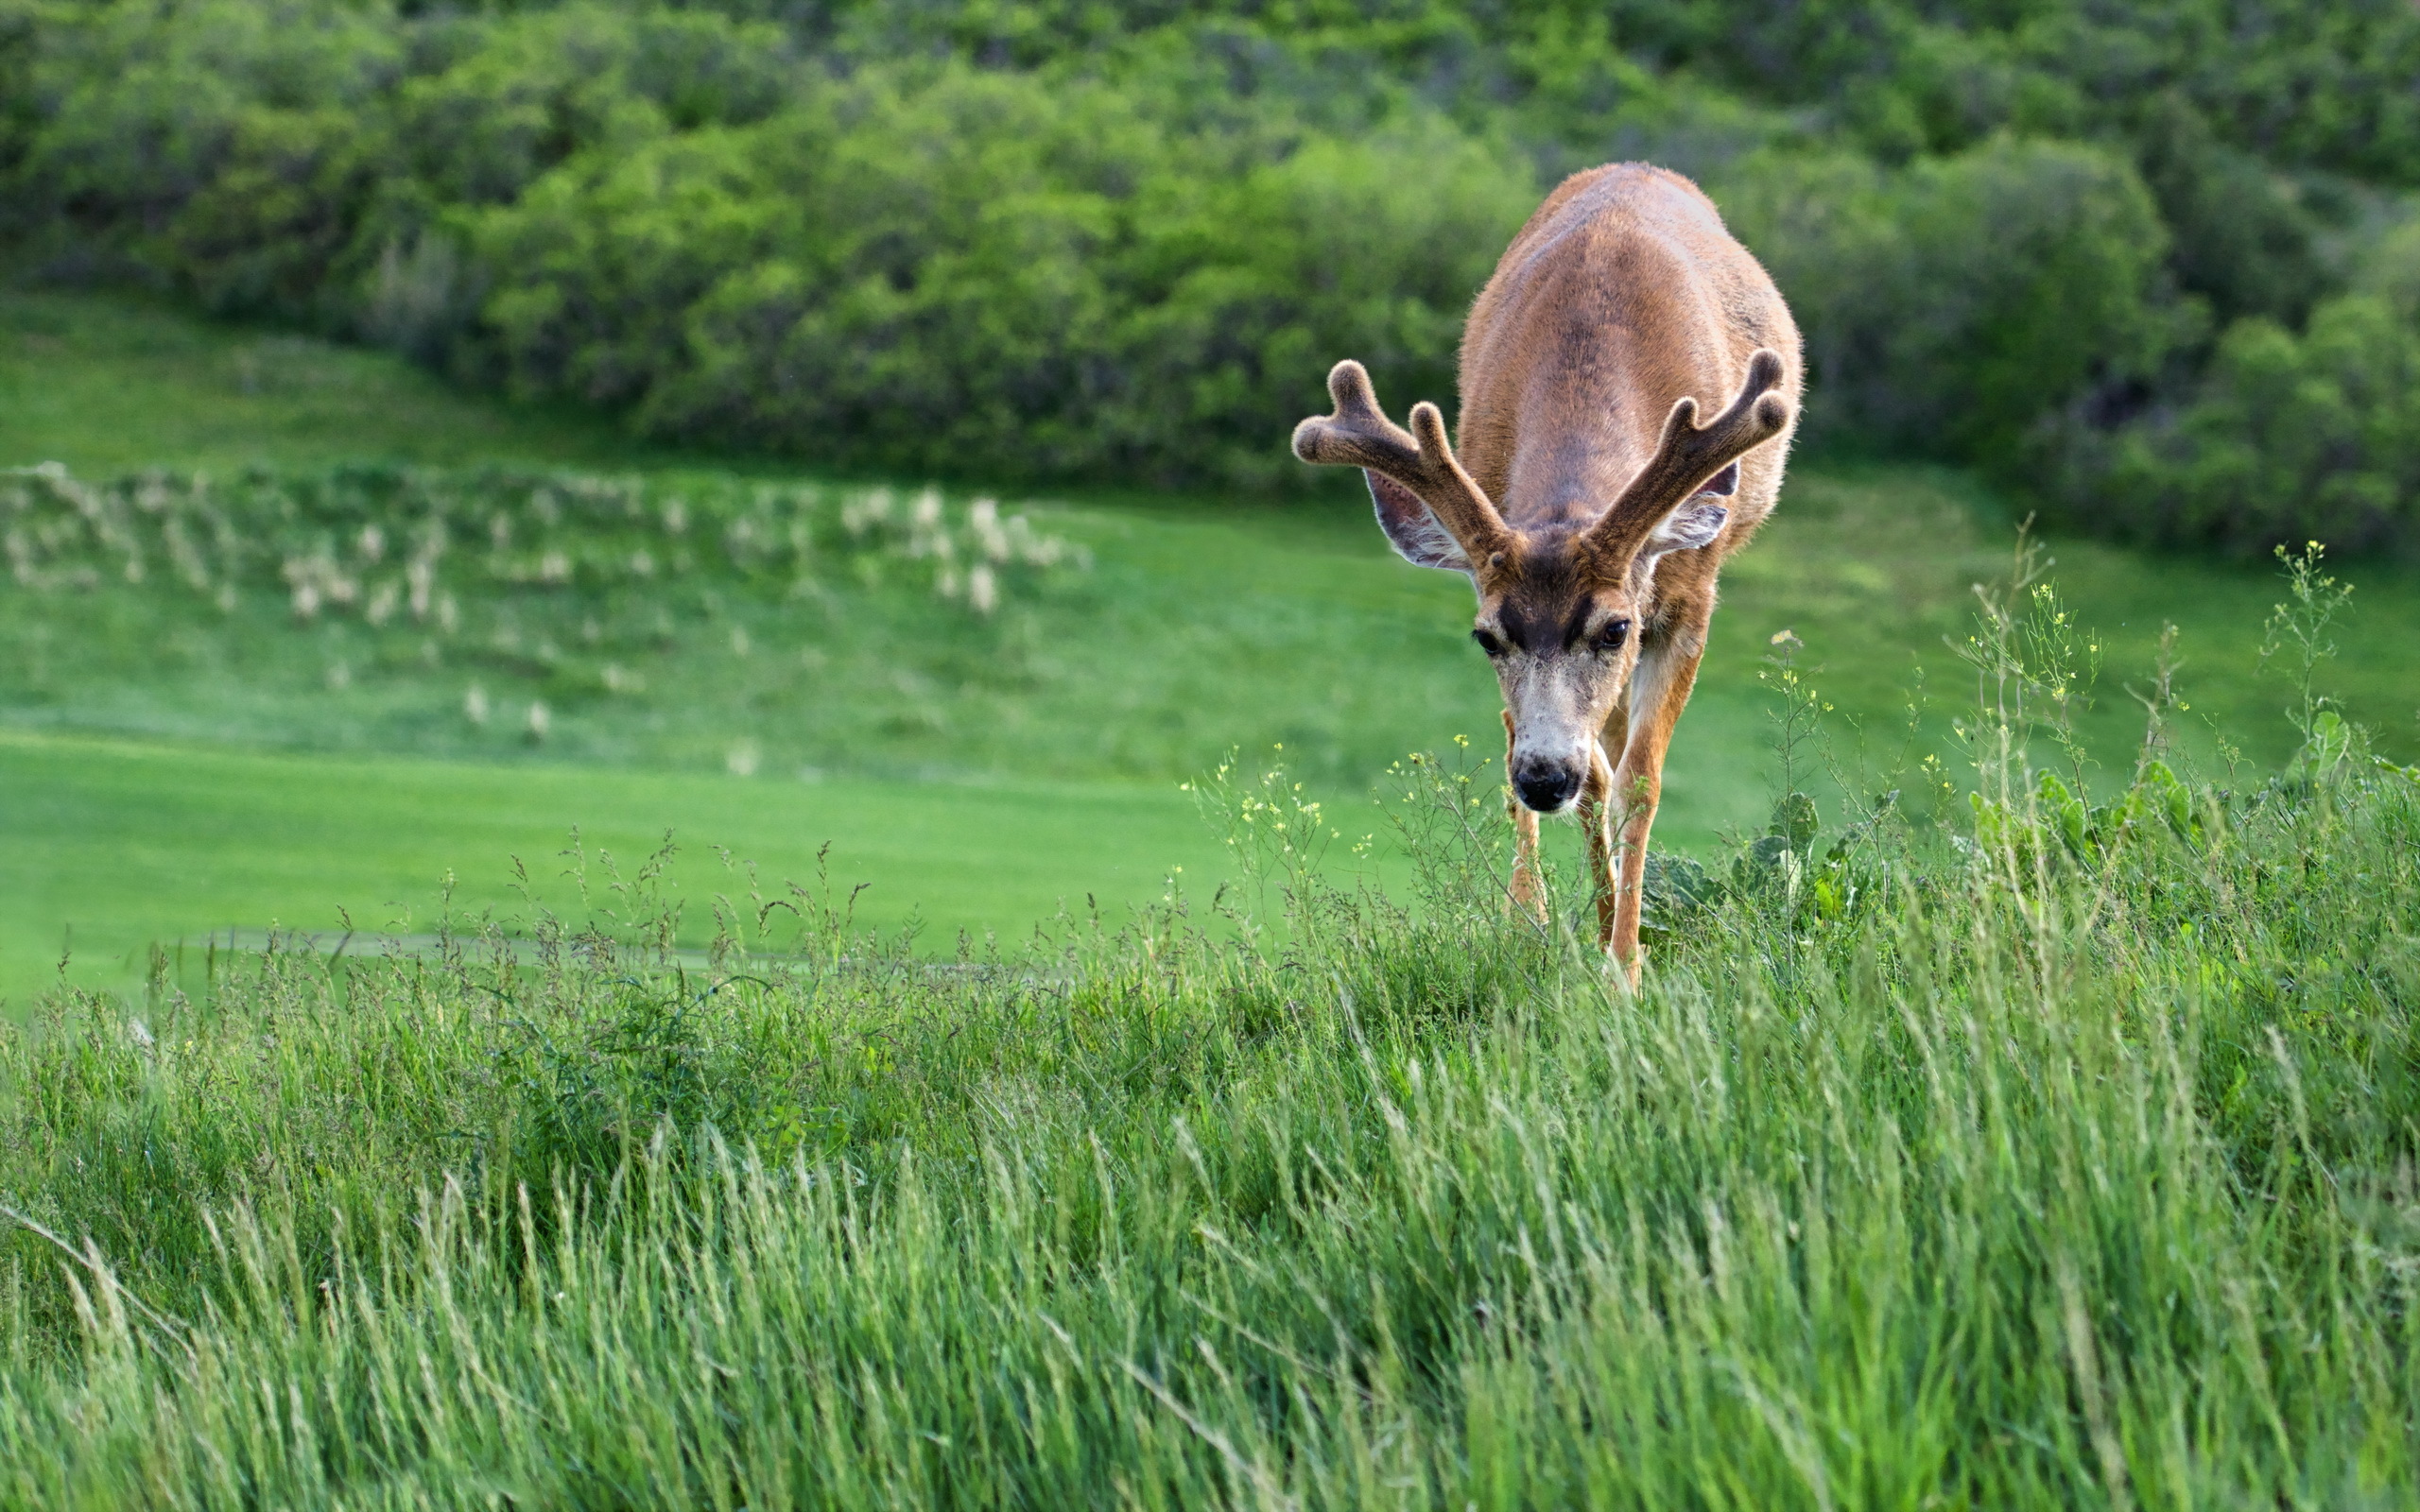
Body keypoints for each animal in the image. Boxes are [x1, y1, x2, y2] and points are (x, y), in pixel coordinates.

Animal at [1287, 162, 1800, 977]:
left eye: (1614, 628)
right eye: (1486, 637)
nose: (1543, 776)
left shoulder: (1689, 595)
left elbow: (1642, 783)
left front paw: (1626, 967)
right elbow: (1579, 770)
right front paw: (1541, 920)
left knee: (1617, 758)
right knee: (1586, 754)